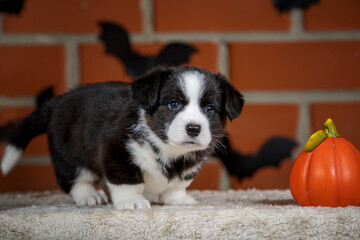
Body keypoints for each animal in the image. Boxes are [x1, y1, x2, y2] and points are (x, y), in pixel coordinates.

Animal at [0, 65, 245, 210]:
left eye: (209, 109)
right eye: (174, 104)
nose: (194, 128)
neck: (167, 148)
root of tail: (54, 104)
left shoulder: (189, 166)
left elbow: (178, 183)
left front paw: (177, 199)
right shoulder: (117, 152)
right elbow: (128, 181)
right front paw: (132, 202)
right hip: (70, 154)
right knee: (74, 179)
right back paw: (89, 196)